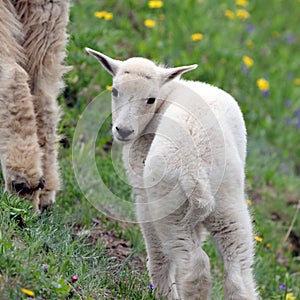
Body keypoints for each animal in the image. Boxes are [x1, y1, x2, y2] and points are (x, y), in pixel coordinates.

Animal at [86, 48, 258, 300]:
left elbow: (158, 250)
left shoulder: (143, 193)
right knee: (238, 273)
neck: (167, 92)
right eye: (115, 91)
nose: (123, 131)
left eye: (150, 99)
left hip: (168, 208)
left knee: (195, 266)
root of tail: (194, 168)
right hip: (228, 205)